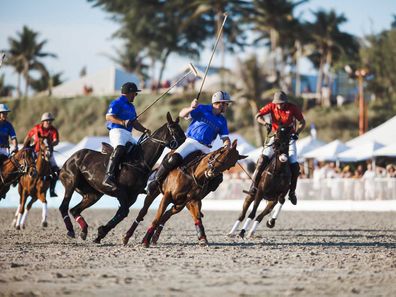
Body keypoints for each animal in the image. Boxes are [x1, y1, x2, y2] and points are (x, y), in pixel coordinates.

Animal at [59, 112, 187, 242]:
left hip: (93, 194)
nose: (185, 142)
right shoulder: (120, 191)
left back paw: (84, 230)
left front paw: (101, 234)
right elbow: (124, 212)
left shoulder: (133, 196)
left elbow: (121, 214)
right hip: (71, 181)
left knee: (74, 209)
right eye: (174, 129)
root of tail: (71, 157)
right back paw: (70, 230)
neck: (139, 160)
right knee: (64, 206)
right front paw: (102, 232)